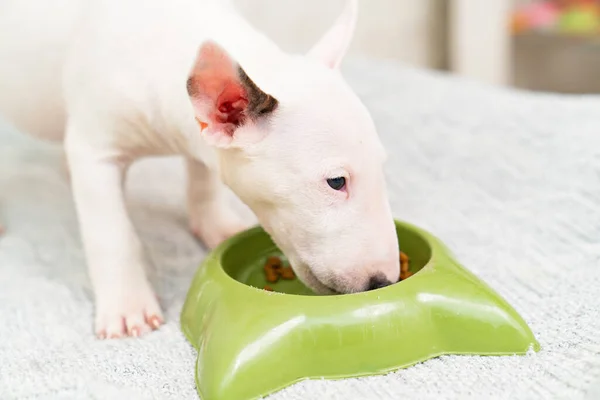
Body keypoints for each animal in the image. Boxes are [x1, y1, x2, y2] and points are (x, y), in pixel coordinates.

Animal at [1, 0, 404, 338]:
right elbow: (111, 234)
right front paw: (128, 307)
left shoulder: (202, 135)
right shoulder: (96, 150)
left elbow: (203, 178)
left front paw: (216, 226)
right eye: (336, 181)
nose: (384, 282)